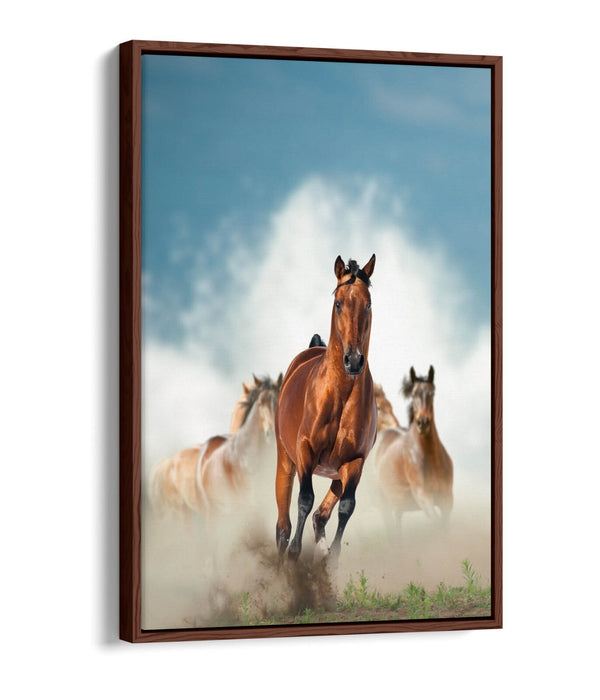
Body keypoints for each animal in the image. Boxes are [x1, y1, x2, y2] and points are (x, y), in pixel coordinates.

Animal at [275, 254, 377, 563]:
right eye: (339, 303)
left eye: (368, 304)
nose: (353, 360)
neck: (339, 396)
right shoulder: (305, 451)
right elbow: (304, 499)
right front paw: (295, 553)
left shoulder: (354, 461)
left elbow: (346, 507)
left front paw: (330, 558)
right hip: (286, 459)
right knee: (283, 522)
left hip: (336, 472)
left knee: (323, 513)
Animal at [373, 365, 453, 531]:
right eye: (413, 394)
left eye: (431, 393)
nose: (423, 422)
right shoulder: (424, 498)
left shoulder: (447, 501)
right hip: (385, 507)